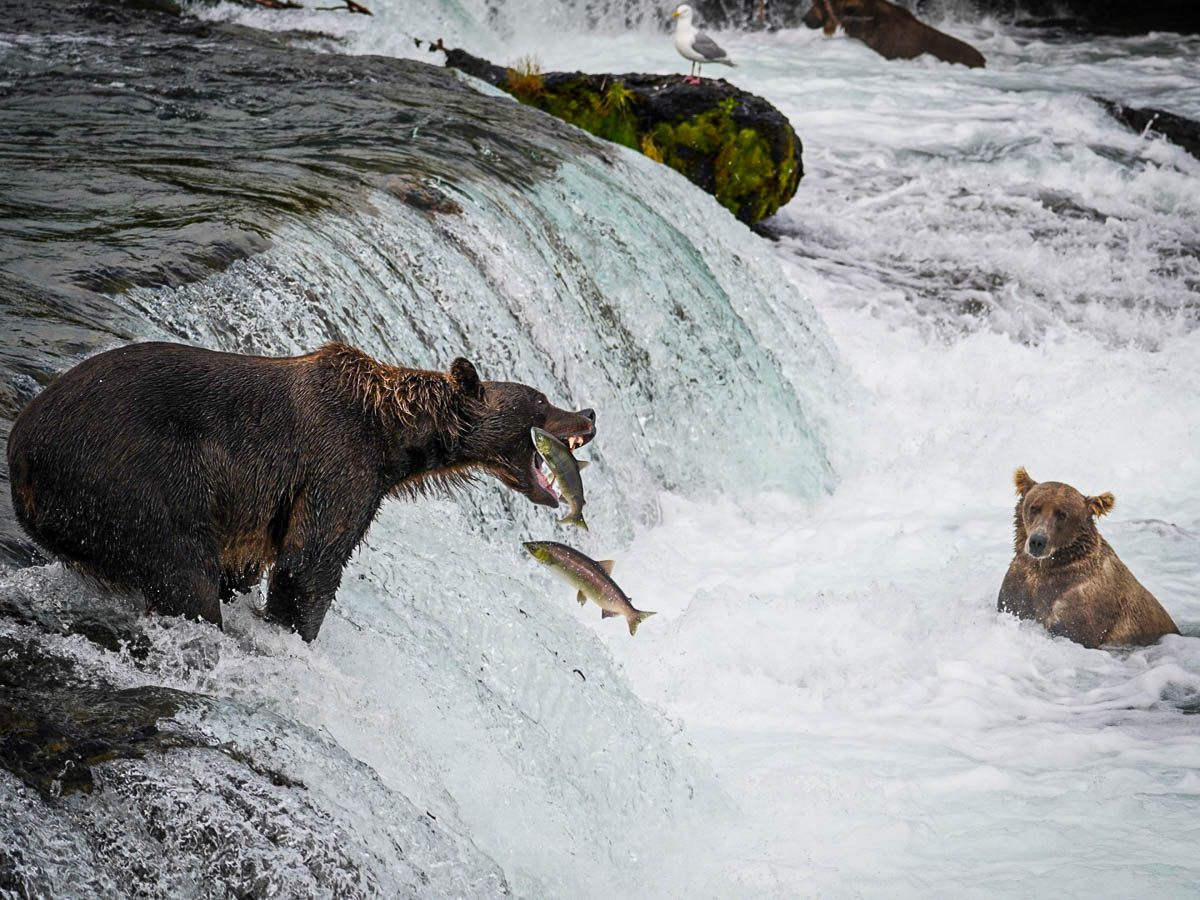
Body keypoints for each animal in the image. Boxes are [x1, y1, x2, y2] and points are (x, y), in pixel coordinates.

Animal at [3, 340, 595, 643]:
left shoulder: (252, 510)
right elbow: (309, 565)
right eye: (541, 401)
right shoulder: (334, 466)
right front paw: (297, 631)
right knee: (181, 570)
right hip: (133, 477)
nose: (588, 412)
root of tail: (20, 454)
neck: (394, 439)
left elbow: (248, 567)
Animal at [998, 468, 1176, 652]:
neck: (1048, 568)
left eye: (1062, 514)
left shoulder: (1081, 608)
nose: (1037, 541)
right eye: (1034, 507)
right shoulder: (1018, 590)